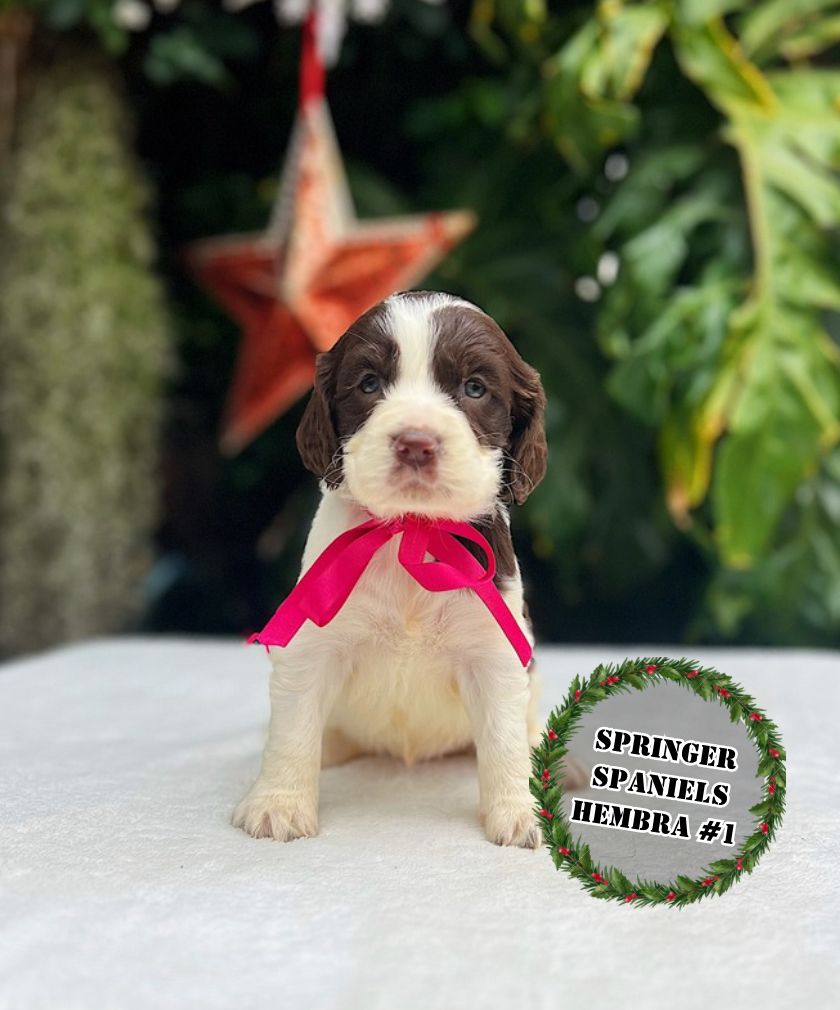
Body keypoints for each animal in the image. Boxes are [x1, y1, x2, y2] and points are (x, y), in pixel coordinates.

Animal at [233, 290, 549, 847]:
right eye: (368, 384)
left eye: (474, 387)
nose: (416, 443)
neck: (409, 530)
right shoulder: (313, 640)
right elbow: (293, 729)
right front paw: (278, 803)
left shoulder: (493, 650)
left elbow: (504, 738)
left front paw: (518, 811)